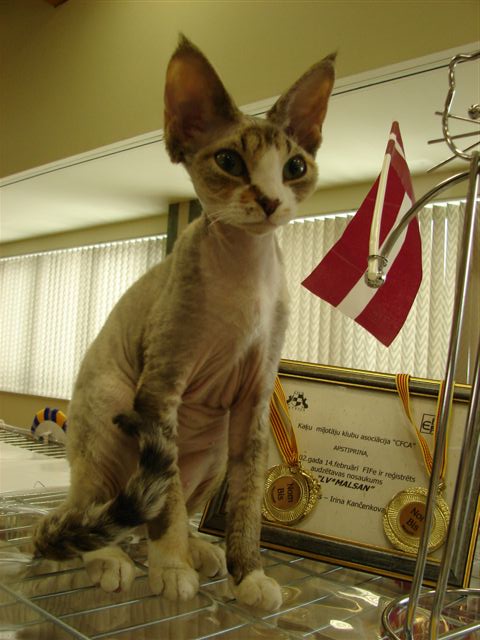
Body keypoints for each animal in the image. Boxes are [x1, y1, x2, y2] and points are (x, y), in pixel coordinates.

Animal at [33, 35, 335, 611]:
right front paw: (171, 569)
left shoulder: (253, 404)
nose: (269, 201)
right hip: (108, 408)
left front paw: (248, 574)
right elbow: (166, 500)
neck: (244, 269)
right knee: (98, 509)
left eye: (294, 168)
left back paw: (199, 549)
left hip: (213, 448)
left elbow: (246, 504)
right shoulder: (160, 393)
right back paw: (113, 558)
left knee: (142, 514)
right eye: (229, 160)